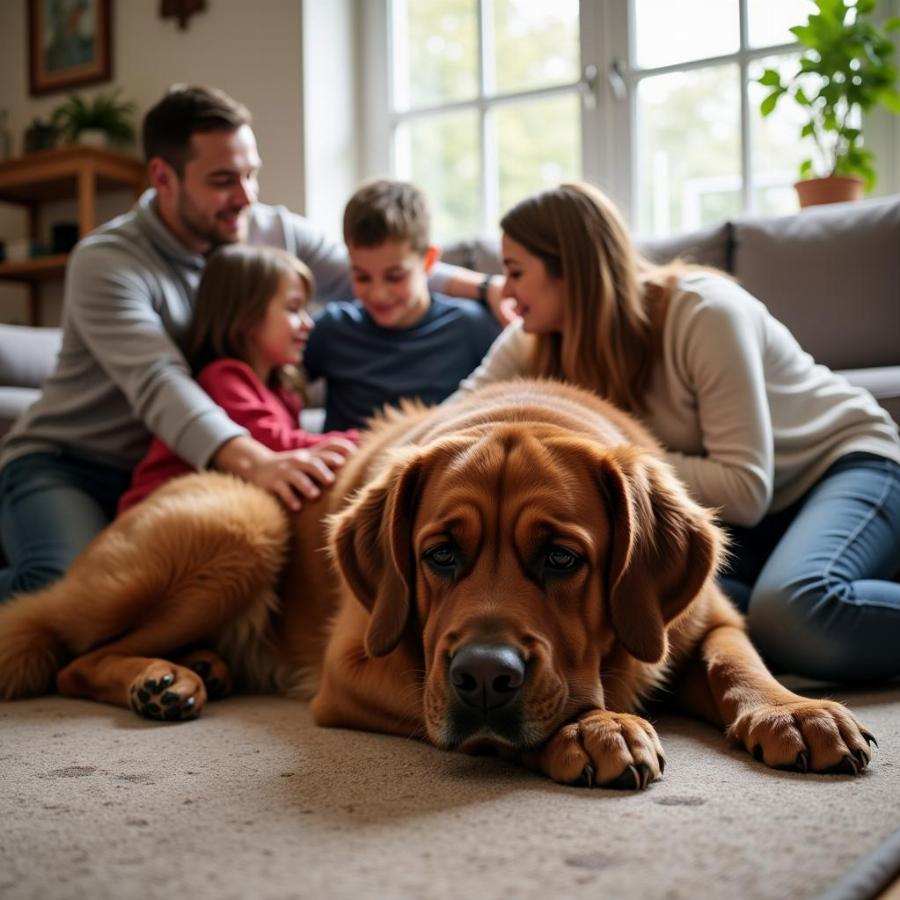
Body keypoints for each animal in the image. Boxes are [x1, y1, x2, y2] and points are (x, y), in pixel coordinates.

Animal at [0, 380, 872, 788]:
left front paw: (796, 711)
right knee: (73, 657)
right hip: (243, 523)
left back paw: (197, 669)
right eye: (439, 555)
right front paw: (591, 729)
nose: (483, 677)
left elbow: (738, 663)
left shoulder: (702, 619)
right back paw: (162, 679)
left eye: (563, 559)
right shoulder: (357, 666)